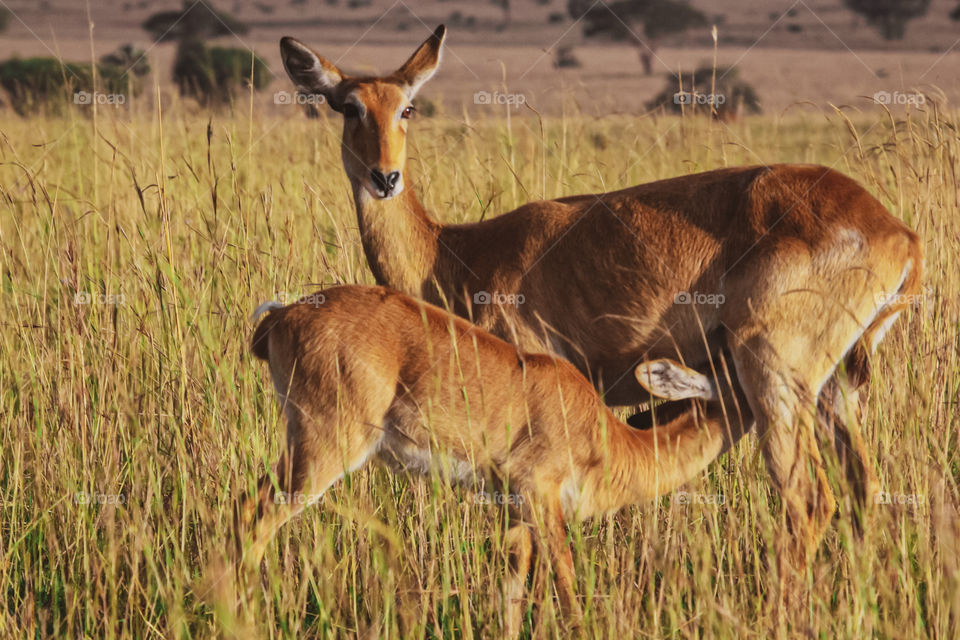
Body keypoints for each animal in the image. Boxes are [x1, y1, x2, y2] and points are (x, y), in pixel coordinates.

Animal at [236, 286, 748, 636]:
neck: (610, 440)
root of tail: (279, 317)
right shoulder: (540, 497)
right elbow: (566, 586)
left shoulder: (514, 513)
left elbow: (512, 594)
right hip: (324, 448)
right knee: (253, 512)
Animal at [278, 27, 924, 568]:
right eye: (348, 106)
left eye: (406, 106)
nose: (384, 177)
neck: (453, 251)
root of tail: (897, 232)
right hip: (834, 389)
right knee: (862, 490)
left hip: (774, 378)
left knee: (807, 501)